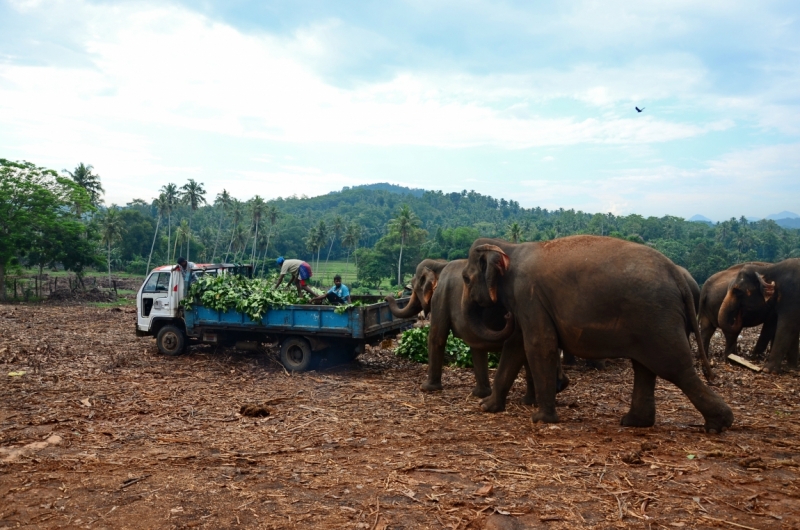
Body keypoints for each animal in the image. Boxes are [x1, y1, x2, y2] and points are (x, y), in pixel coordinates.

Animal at [388, 258, 568, 402]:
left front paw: (427, 388)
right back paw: (550, 390)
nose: (388, 296)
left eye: (414, 286)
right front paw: (480, 394)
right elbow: (476, 345)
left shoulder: (441, 297)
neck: (440, 264)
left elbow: (437, 337)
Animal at [462, 235, 732, 434]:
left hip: (656, 317)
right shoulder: (526, 303)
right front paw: (486, 407)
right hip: (649, 322)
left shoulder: (529, 296)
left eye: (465, 278)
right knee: (645, 368)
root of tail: (677, 274)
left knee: (674, 367)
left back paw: (719, 424)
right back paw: (634, 422)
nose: (506, 316)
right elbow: (515, 345)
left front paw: (540, 419)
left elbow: (539, 345)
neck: (510, 247)